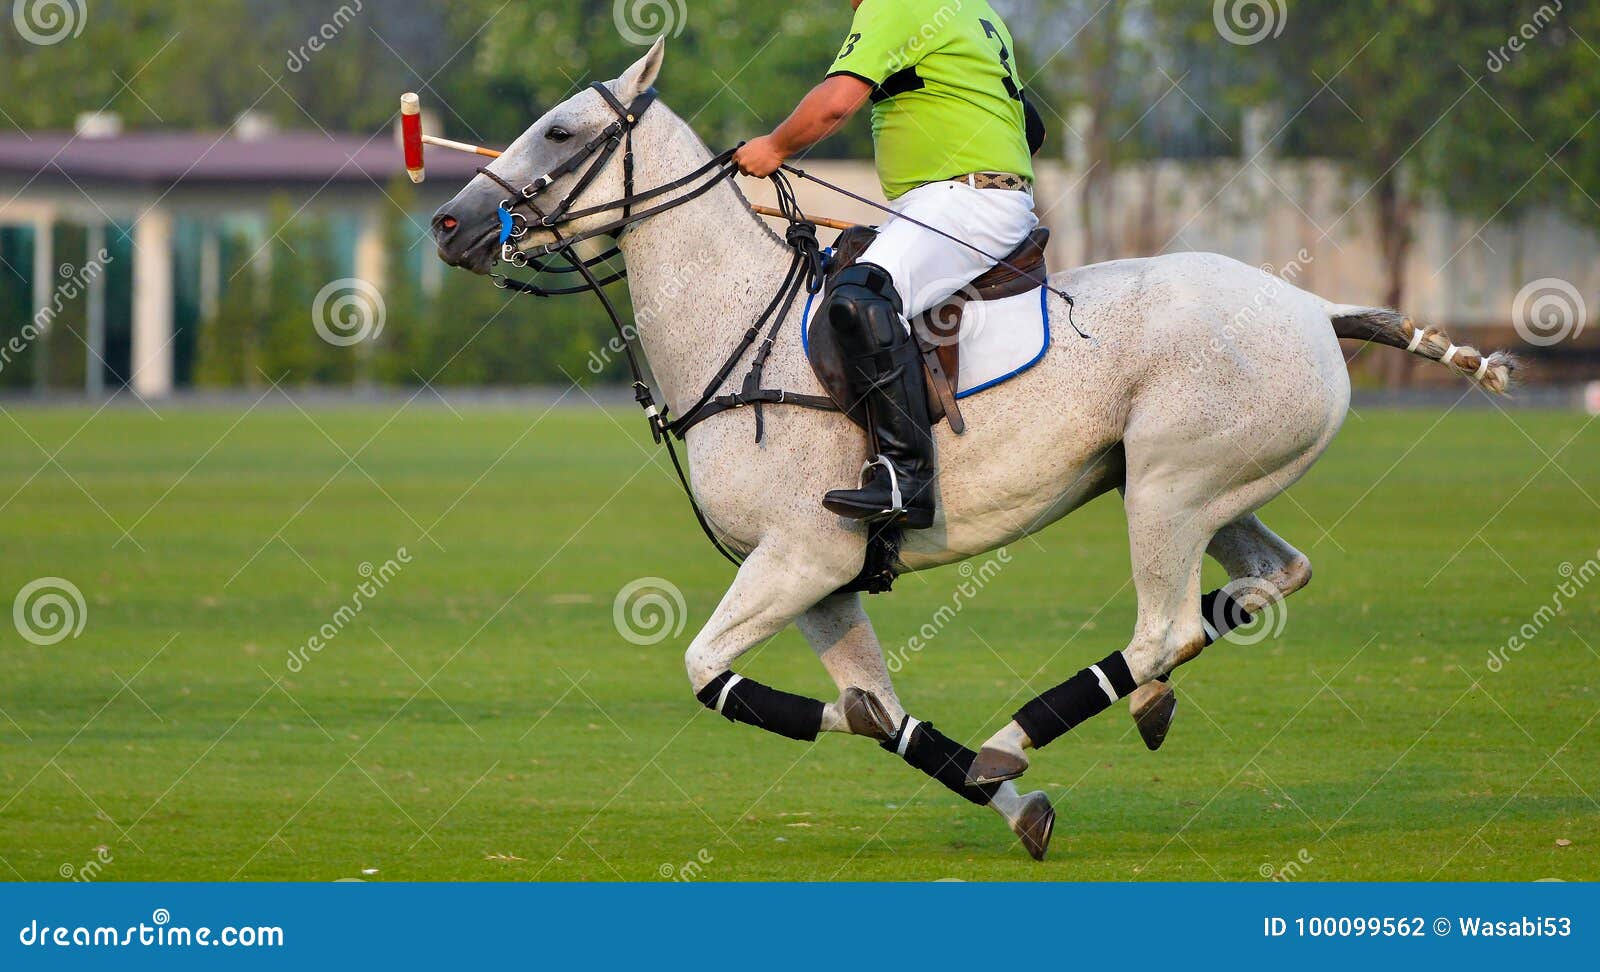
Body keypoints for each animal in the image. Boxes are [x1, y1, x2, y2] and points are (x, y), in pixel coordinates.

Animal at [429, 39, 1518, 861]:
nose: (446, 223)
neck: (739, 326)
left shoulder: (803, 555)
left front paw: (980, 766)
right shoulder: (820, 581)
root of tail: (1316, 307)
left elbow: (712, 673)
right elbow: (875, 702)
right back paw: (1133, 710)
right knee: (1271, 576)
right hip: (1209, 483)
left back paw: (1021, 734)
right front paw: (1013, 807)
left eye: (560, 130)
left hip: (1168, 486)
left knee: (1163, 624)